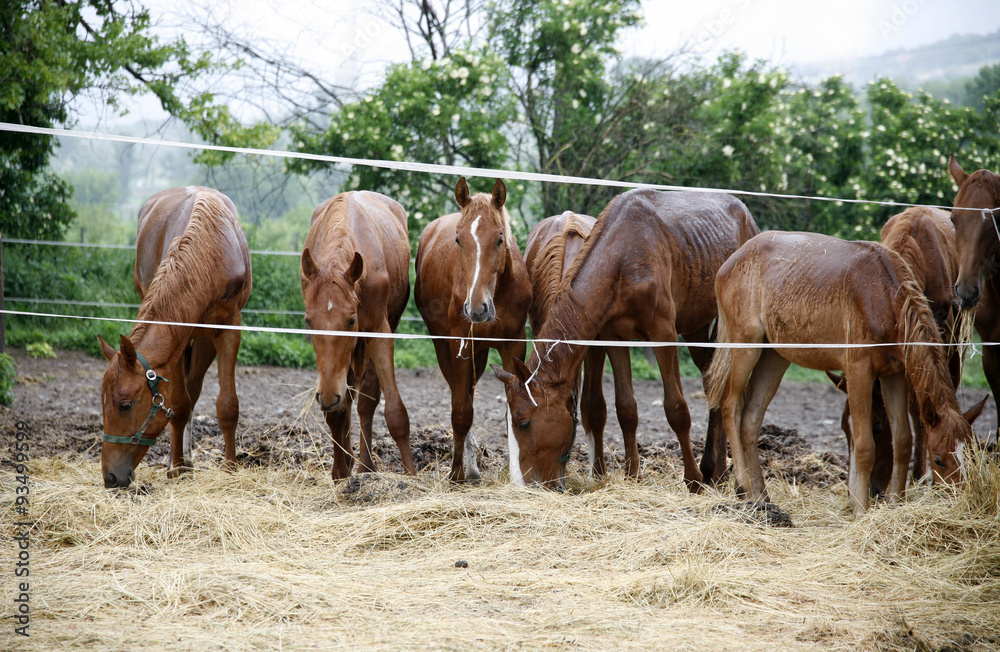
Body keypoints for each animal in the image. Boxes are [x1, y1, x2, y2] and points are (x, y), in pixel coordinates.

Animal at [99, 186, 252, 488]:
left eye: (124, 405)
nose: (110, 476)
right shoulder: (179, 336)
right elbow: (178, 405)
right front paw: (177, 467)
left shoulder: (229, 328)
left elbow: (227, 405)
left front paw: (230, 469)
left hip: (204, 340)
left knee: (195, 390)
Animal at [301, 191, 416, 479]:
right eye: (309, 321)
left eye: (351, 320)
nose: (326, 396)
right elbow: (337, 411)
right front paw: (340, 472)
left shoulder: (378, 331)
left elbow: (394, 411)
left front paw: (411, 475)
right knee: (350, 399)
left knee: (365, 401)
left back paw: (365, 465)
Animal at [414, 178, 532, 482]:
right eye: (458, 239)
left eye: (500, 238)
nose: (477, 308)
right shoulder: (460, 345)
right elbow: (461, 410)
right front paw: (457, 472)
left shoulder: (514, 345)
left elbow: (512, 411)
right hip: (444, 347)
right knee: (460, 395)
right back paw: (468, 466)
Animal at [707, 232, 975, 516]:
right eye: (939, 459)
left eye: (970, 452)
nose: (962, 501)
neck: (882, 294)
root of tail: (731, 260)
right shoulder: (859, 372)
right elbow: (864, 446)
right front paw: (861, 510)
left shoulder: (895, 375)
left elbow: (902, 440)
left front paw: (895, 502)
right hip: (746, 348)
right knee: (731, 406)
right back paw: (743, 485)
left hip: (774, 358)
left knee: (750, 419)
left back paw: (760, 497)